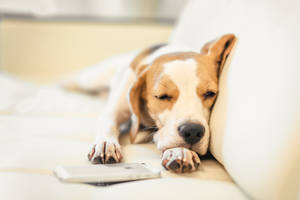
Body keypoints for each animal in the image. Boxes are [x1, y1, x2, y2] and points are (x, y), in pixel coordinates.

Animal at [63, 33, 237, 173]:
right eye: (162, 96)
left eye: (210, 93)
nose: (193, 131)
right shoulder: (114, 111)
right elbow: (108, 124)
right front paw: (106, 144)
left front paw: (180, 151)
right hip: (93, 78)